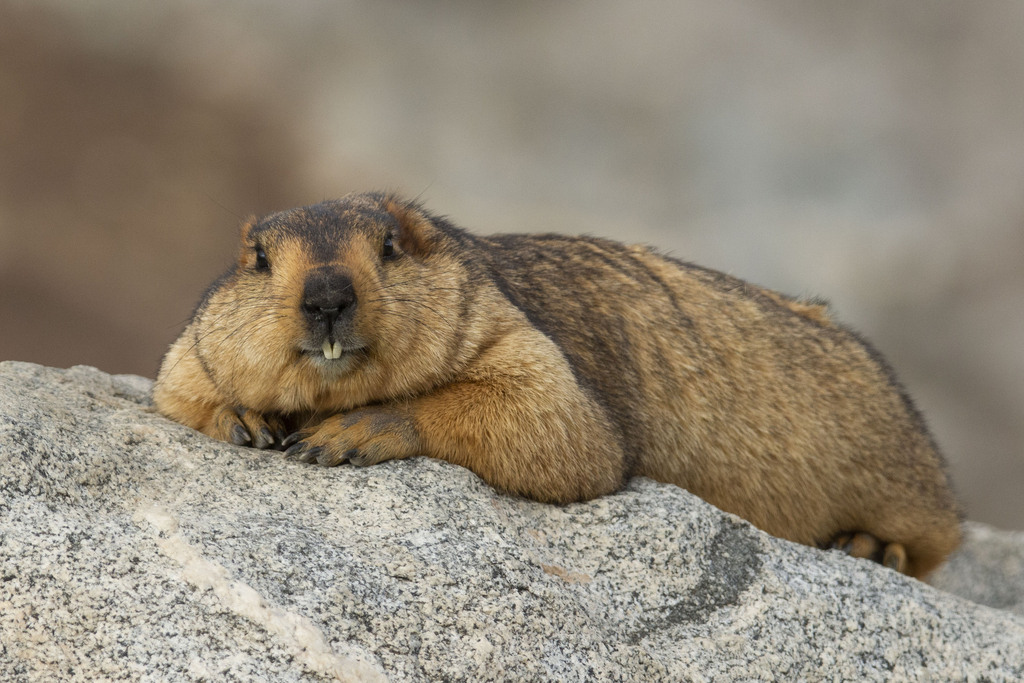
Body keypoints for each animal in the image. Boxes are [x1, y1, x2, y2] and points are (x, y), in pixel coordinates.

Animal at [153, 191, 962, 578]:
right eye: (259, 258)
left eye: (387, 246)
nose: (325, 293)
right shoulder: (198, 340)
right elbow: (176, 383)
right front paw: (246, 417)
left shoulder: (509, 325)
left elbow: (552, 414)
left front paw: (356, 429)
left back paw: (871, 548)